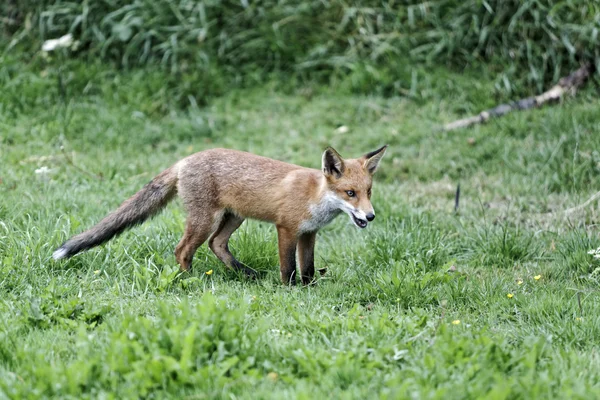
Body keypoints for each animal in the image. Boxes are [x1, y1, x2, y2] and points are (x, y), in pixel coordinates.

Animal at [52, 146, 390, 284]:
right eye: (350, 193)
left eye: (369, 191)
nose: (371, 216)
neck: (315, 197)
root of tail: (184, 160)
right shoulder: (287, 229)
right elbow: (289, 268)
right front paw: (291, 290)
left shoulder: (309, 233)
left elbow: (307, 268)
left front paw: (310, 290)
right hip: (206, 220)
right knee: (183, 249)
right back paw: (189, 281)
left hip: (233, 217)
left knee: (216, 244)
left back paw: (244, 273)